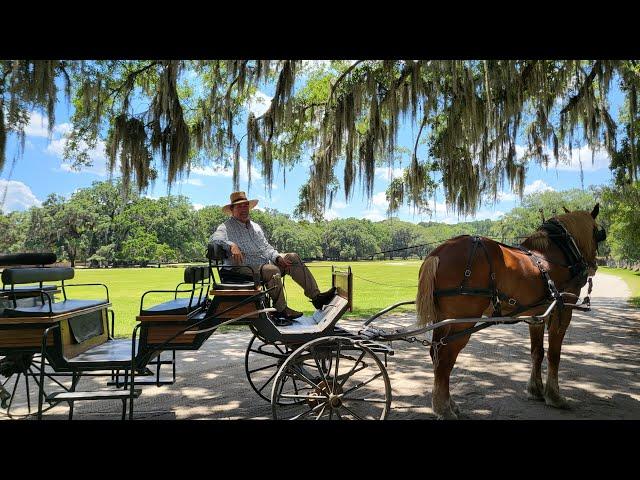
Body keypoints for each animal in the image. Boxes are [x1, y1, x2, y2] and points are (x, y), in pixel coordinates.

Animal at [418, 204, 608, 418]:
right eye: (599, 234)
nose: (594, 265)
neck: (557, 255)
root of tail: (438, 252)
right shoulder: (563, 310)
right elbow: (554, 354)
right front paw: (555, 396)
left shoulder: (537, 316)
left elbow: (537, 352)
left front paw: (536, 390)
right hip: (462, 322)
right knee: (445, 358)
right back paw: (444, 408)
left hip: (443, 320)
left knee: (436, 354)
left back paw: (449, 404)